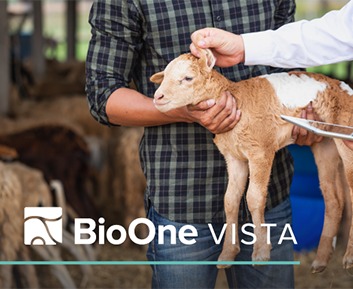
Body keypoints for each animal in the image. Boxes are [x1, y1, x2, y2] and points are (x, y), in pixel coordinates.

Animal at [150, 35, 352, 272]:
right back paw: (321, 260)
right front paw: (227, 255)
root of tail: (345, 87)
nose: (158, 97)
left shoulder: (261, 150)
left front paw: (261, 252)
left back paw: (348, 257)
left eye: (188, 78)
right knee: (333, 196)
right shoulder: (234, 157)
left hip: (345, 131)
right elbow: (230, 199)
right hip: (324, 142)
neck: (237, 100)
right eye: (164, 76)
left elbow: (253, 198)